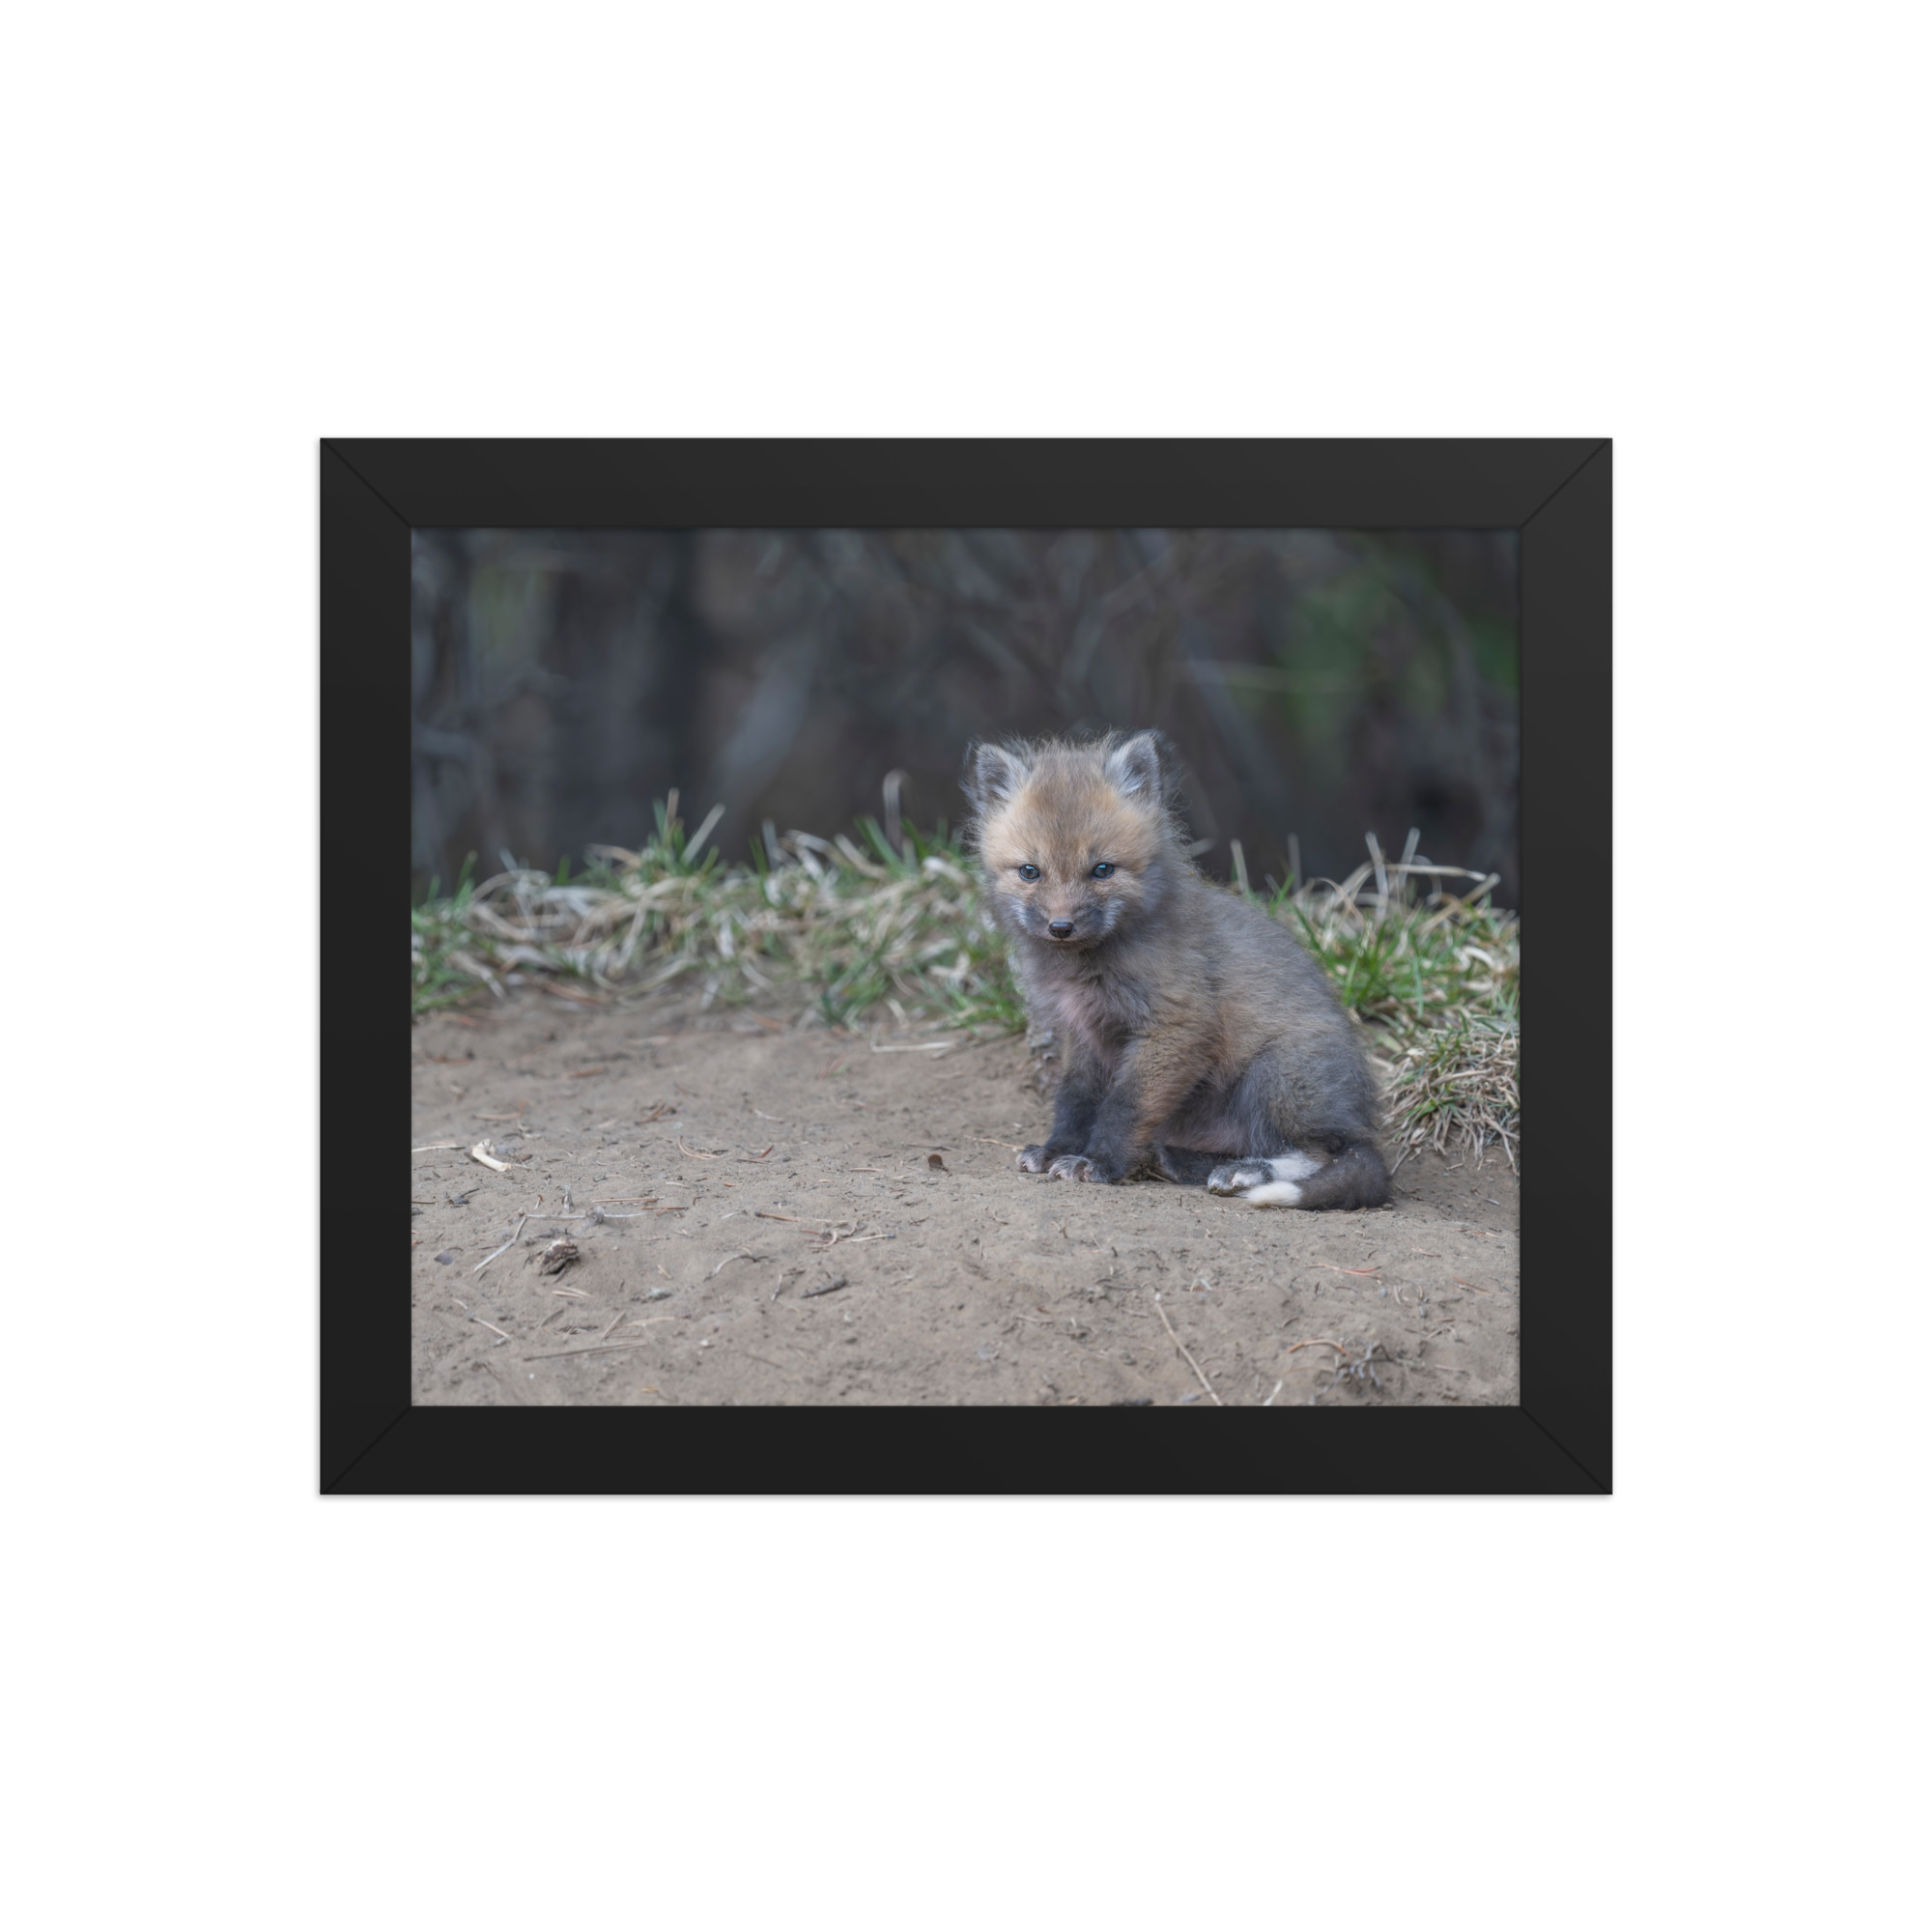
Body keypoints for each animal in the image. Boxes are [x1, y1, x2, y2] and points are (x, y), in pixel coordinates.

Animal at [962, 730, 1391, 1210]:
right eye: (1030, 871)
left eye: (1102, 870)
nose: (1061, 927)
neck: (1086, 967)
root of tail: (1360, 1120)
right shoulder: (1084, 1034)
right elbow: (1075, 1100)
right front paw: (1058, 1150)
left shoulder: (1175, 1026)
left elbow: (1124, 1106)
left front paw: (1099, 1163)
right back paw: (1183, 1161)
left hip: (1275, 1075)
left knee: (1324, 1153)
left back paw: (1246, 1172)